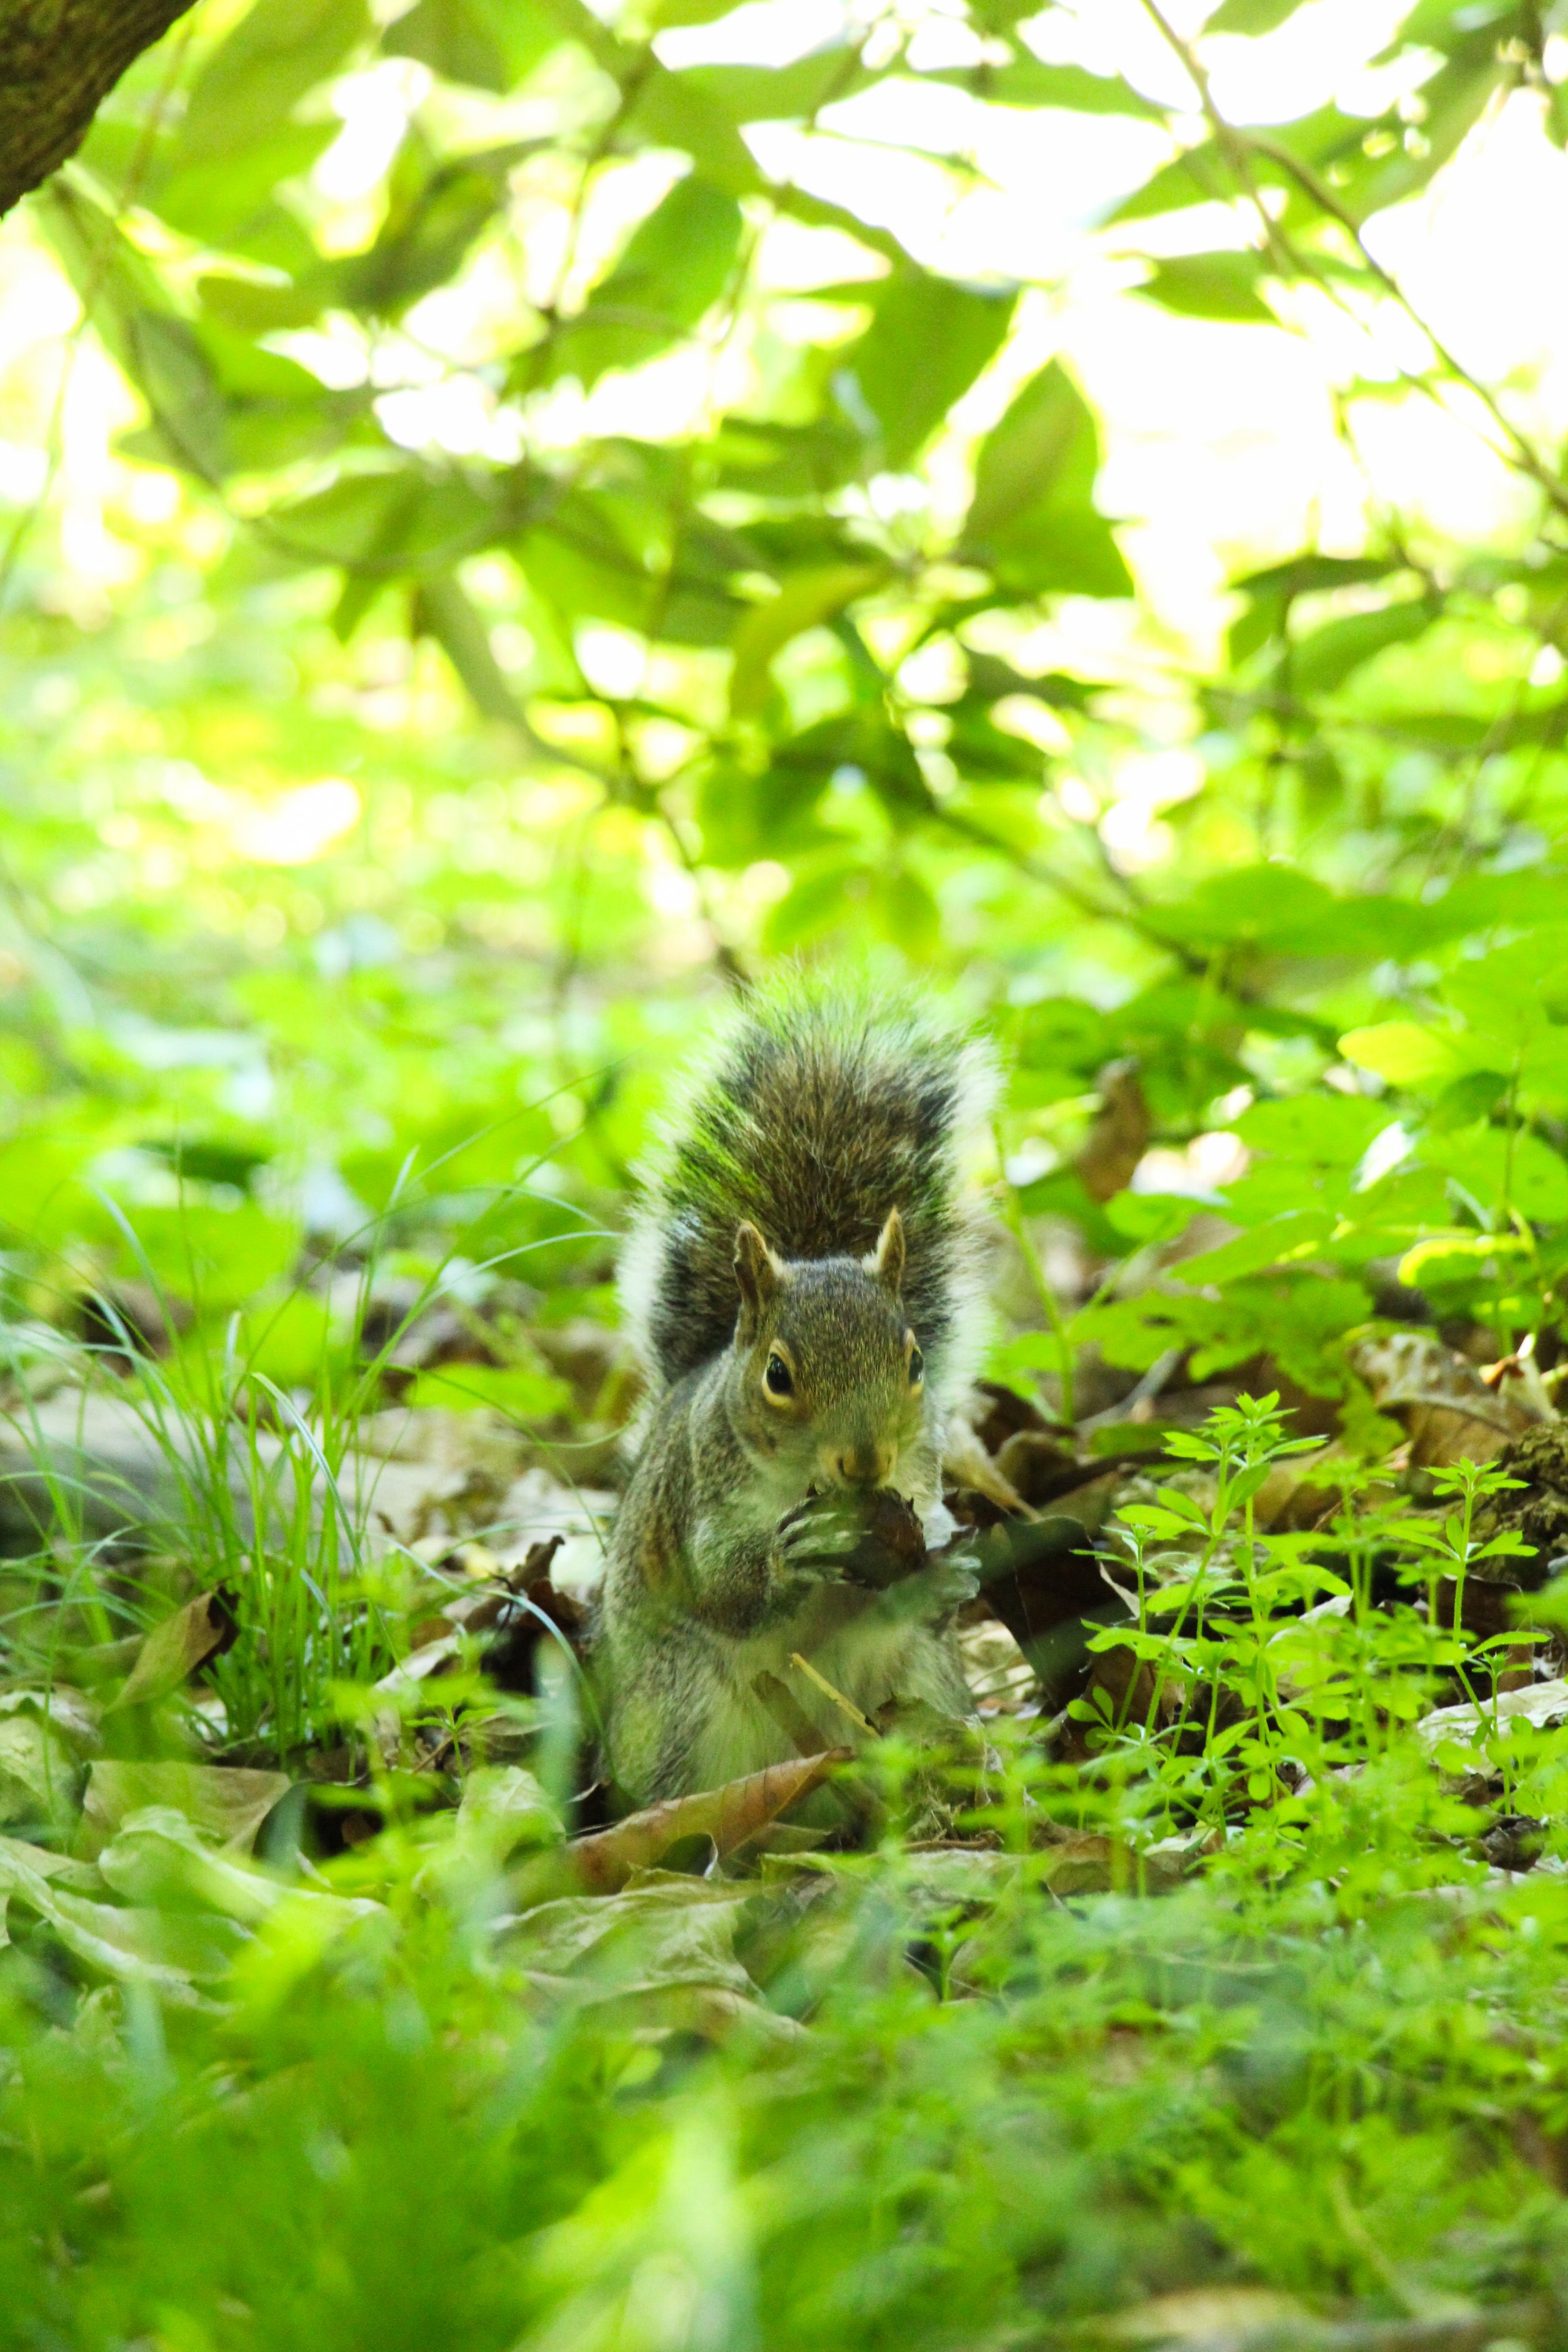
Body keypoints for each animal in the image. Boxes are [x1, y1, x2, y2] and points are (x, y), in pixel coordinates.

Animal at [596, 976, 996, 1805]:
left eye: (915, 1361)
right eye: (777, 1375)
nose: (865, 1463)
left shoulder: (921, 1483)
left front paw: (948, 1579)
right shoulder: (700, 1502)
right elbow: (723, 1588)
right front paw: (787, 1561)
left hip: (925, 1683)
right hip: (679, 1707)